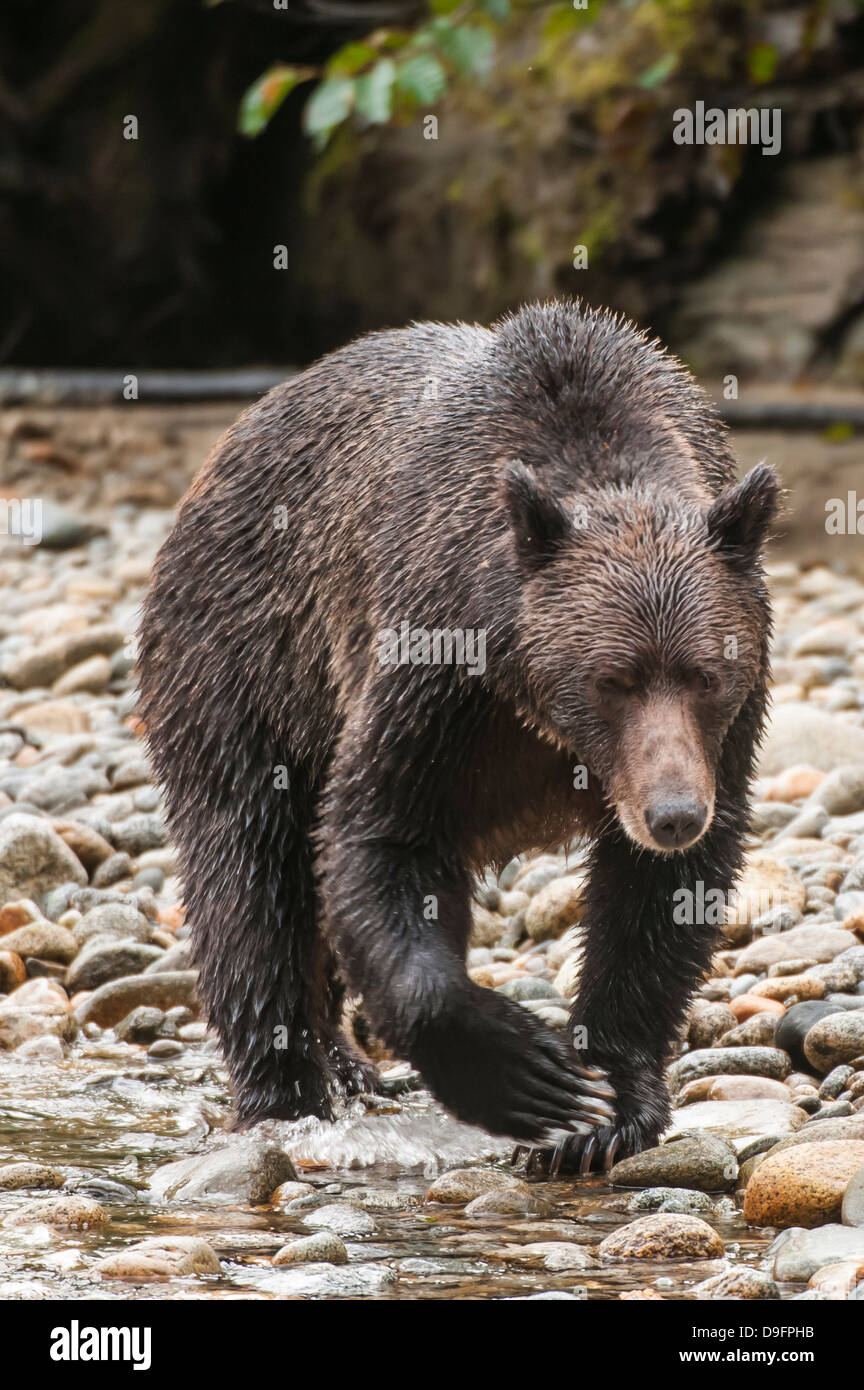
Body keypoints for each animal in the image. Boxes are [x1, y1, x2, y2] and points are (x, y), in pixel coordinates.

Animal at [138, 301, 783, 1173]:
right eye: (612, 678)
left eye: (704, 675)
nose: (673, 813)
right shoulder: (434, 671)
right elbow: (379, 836)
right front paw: (527, 1074)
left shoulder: (725, 728)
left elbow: (656, 901)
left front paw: (607, 1107)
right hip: (247, 664)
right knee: (249, 873)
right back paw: (288, 1091)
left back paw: (345, 1066)